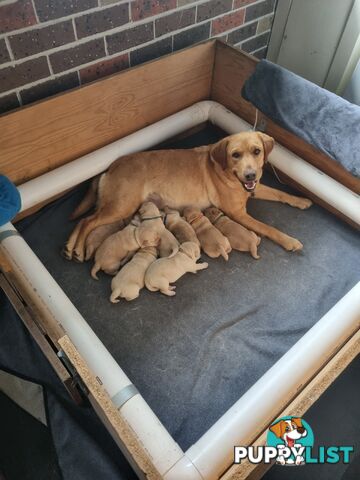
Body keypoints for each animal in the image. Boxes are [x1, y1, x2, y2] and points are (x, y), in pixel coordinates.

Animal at [64, 131, 312, 260]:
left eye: (257, 151)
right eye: (235, 155)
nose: (250, 174)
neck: (230, 174)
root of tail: (110, 167)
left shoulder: (254, 188)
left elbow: (280, 193)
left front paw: (300, 200)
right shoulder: (238, 213)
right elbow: (269, 228)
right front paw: (289, 241)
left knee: (84, 220)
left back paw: (70, 246)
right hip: (121, 206)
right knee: (87, 221)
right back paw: (77, 248)